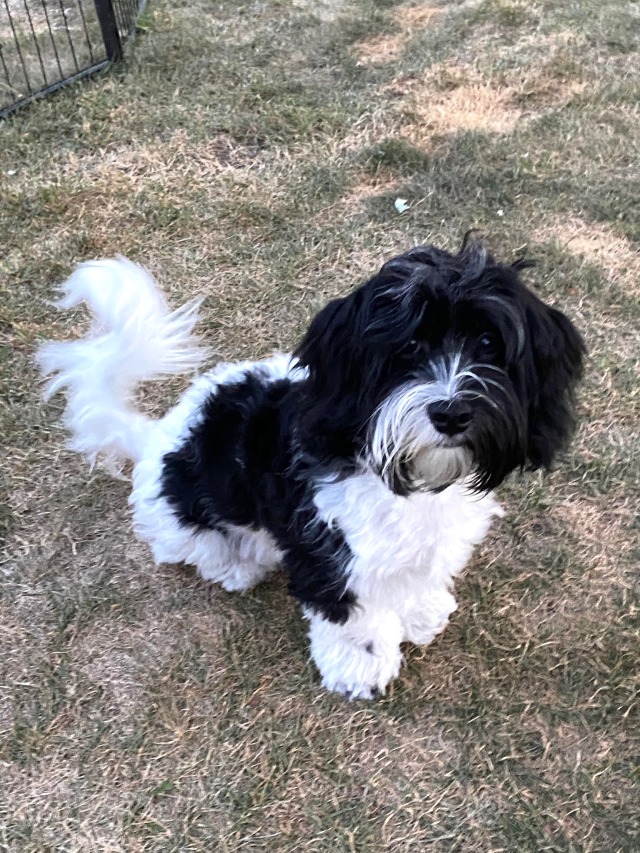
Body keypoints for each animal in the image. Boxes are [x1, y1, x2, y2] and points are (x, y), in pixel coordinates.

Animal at [35, 236, 584, 696]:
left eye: (488, 345)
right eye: (409, 347)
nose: (451, 413)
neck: (404, 471)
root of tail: (154, 437)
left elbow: (419, 575)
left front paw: (422, 610)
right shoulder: (331, 552)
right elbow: (355, 618)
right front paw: (361, 669)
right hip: (185, 513)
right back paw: (237, 563)